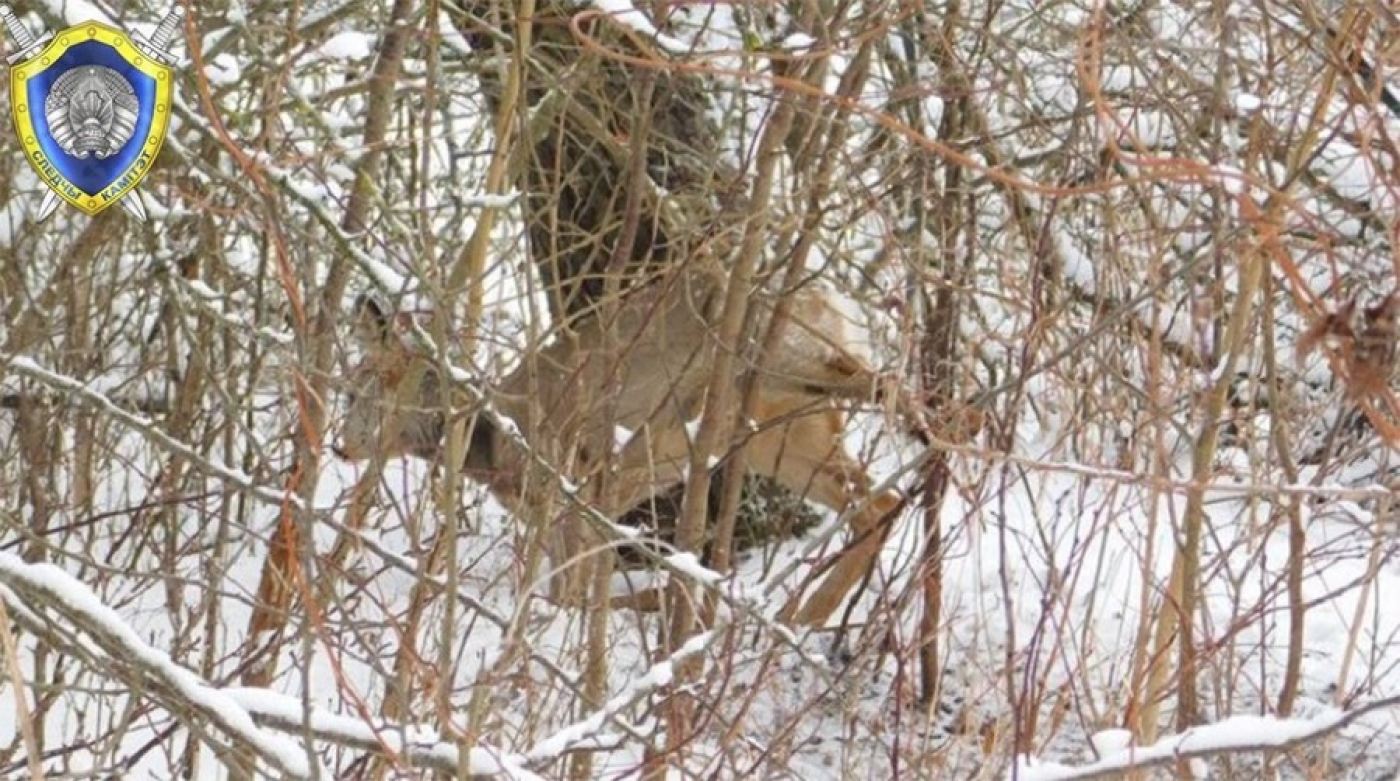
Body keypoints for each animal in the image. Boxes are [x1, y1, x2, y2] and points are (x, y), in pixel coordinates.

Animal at [337, 267, 974, 629]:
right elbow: (573, 594)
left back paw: (946, 420)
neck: (493, 440)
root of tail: (833, 295)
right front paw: (667, 597)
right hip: (784, 435)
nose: (341, 448)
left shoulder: (575, 491)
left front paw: (658, 600)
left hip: (781, 363)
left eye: (357, 392)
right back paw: (804, 614)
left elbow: (568, 597)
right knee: (870, 499)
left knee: (871, 386)